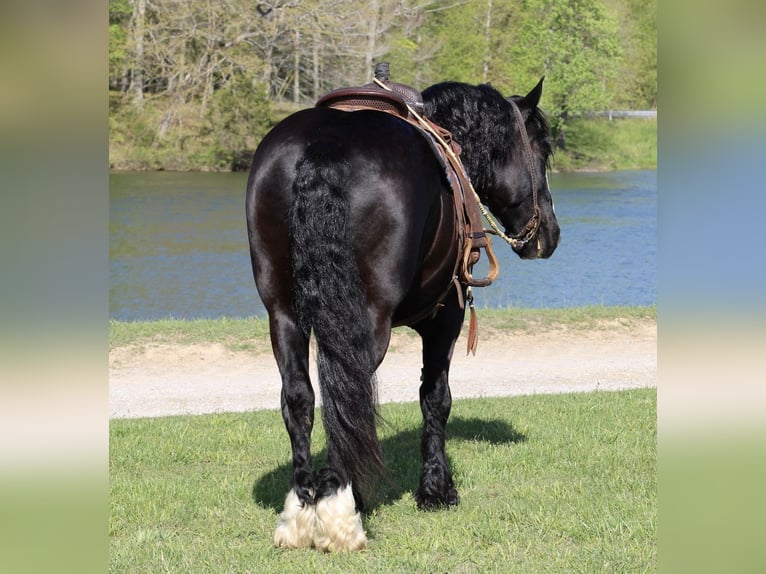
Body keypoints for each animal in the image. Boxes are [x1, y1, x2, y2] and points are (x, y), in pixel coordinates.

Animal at [249, 77, 560, 552]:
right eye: (542, 152)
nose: (550, 234)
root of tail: (325, 143)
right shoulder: (446, 316)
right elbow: (436, 398)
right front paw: (436, 489)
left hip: (282, 315)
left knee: (300, 398)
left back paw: (302, 509)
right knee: (349, 389)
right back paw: (341, 509)